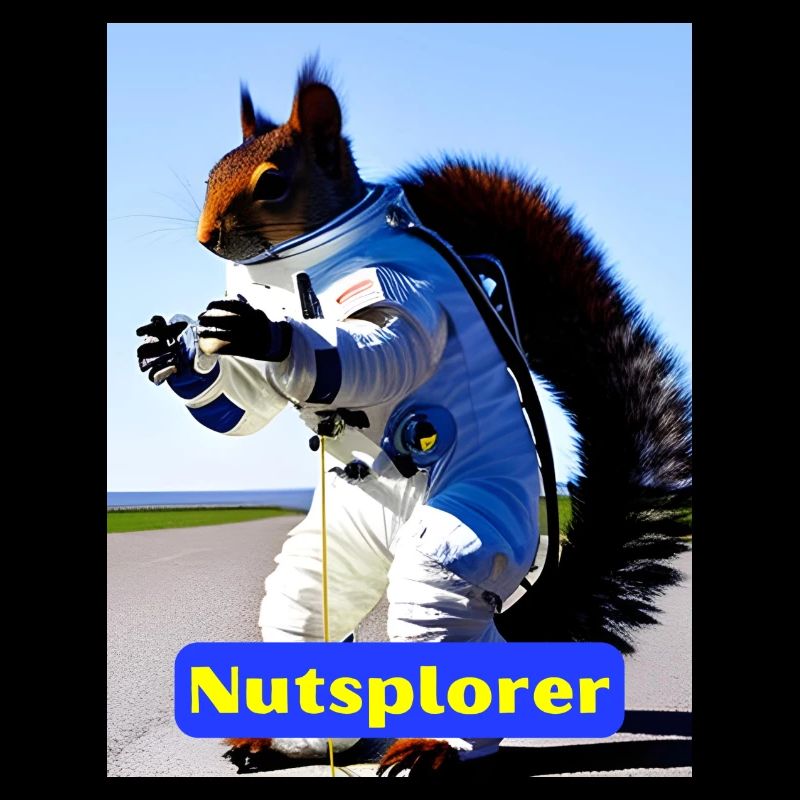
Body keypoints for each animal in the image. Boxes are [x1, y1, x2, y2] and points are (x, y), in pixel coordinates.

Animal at [136, 57, 691, 777]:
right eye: (211, 173)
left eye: (273, 183)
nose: (207, 240)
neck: (298, 272)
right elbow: (244, 401)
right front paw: (173, 354)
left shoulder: (400, 288)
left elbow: (383, 350)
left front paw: (271, 337)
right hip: (334, 547)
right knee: (304, 607)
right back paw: (283, 742)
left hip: (462, 535)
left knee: (447, 616)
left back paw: (431, 747)